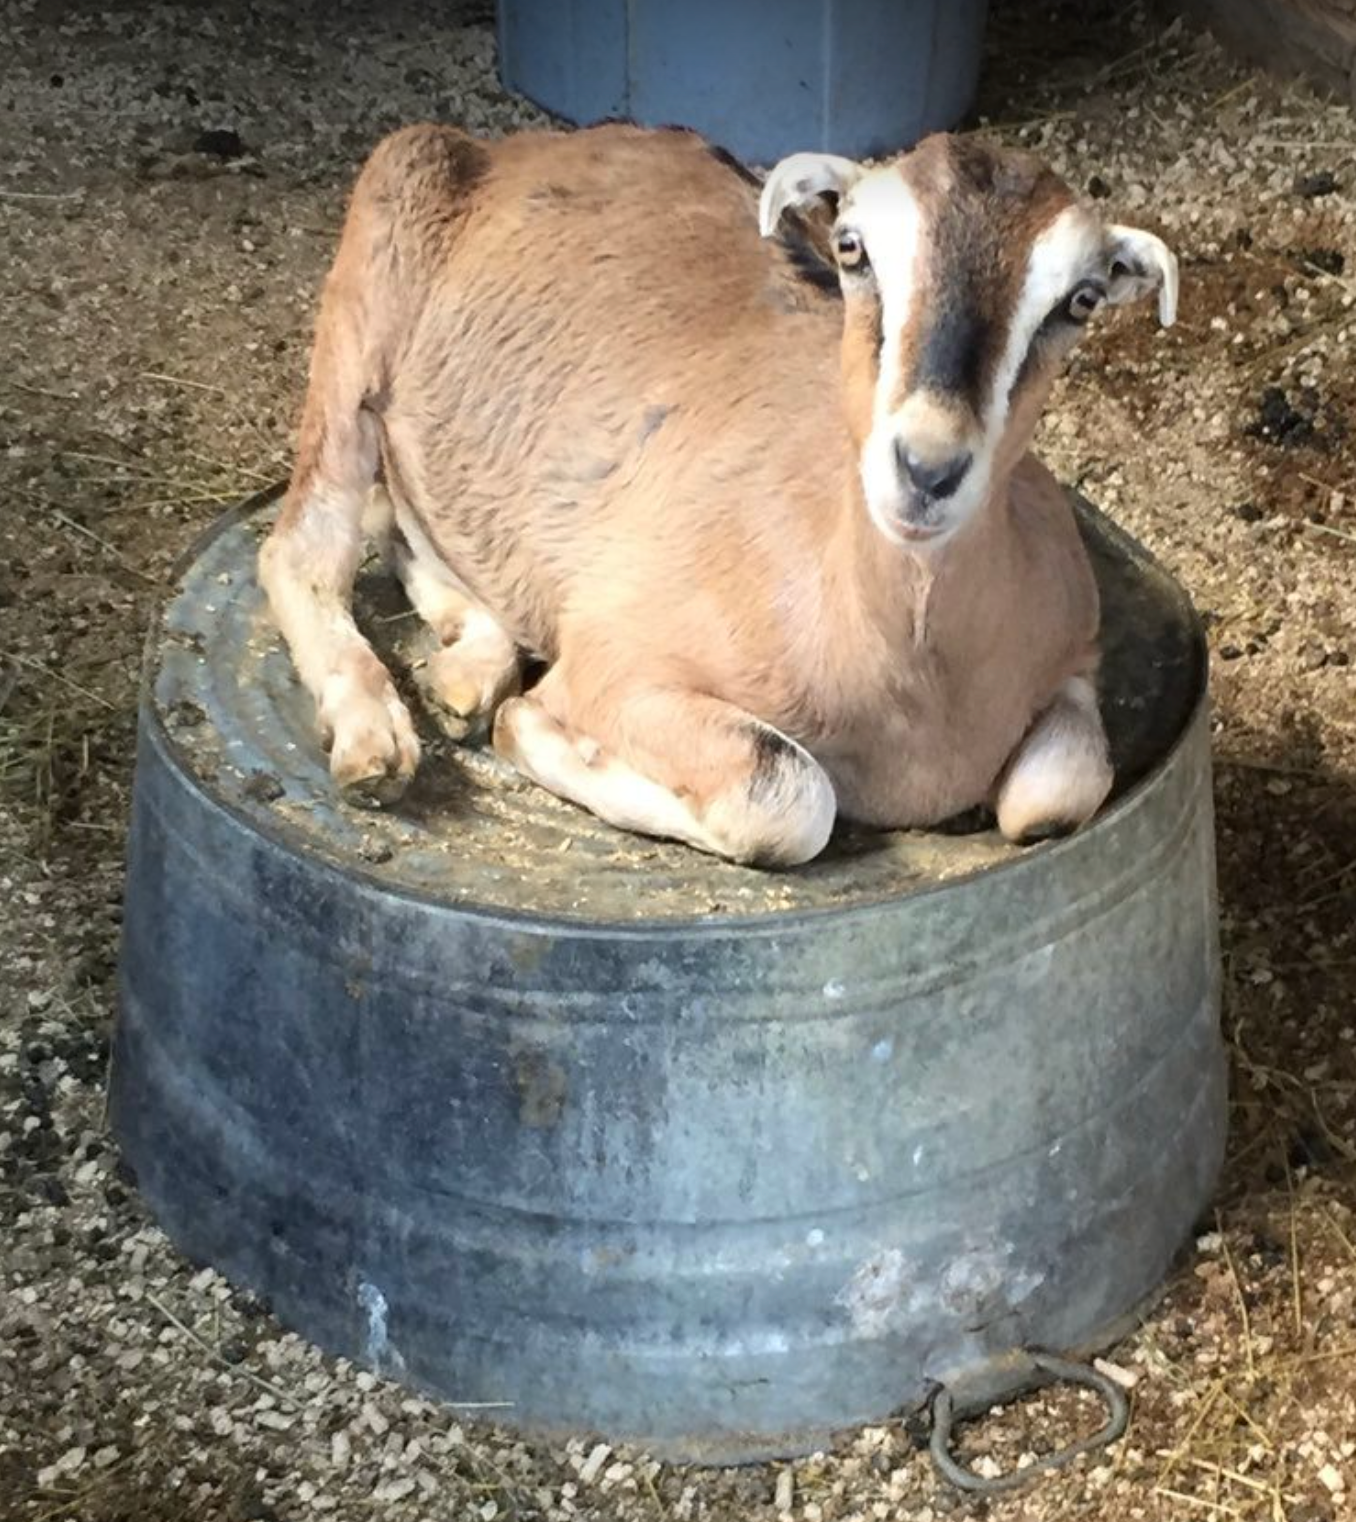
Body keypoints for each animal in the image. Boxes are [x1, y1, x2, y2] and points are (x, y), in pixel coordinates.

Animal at [259, 123, 1178, 868]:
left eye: (1082, 299)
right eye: (852, 248)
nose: (926, 467)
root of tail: (518, 149)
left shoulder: (1074, 655)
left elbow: (1055, 796)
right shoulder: (622, 662)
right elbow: (788, 797)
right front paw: (533, 728)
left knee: (396, 515)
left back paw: (467, 669)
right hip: (369, 289)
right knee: (303, 544)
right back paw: (377, 738)